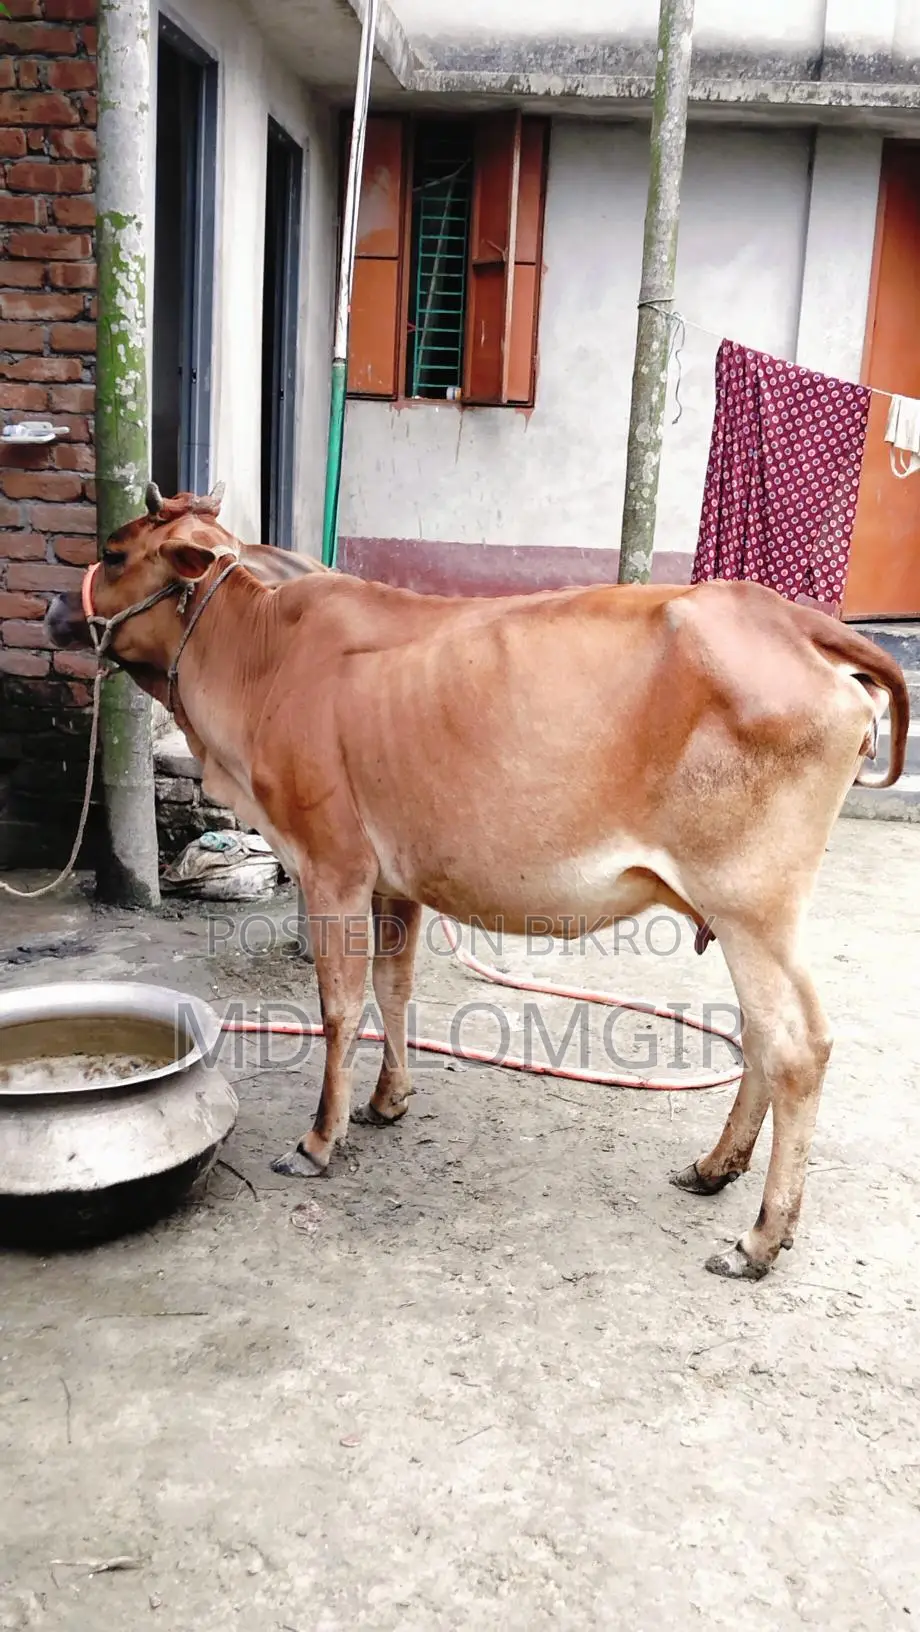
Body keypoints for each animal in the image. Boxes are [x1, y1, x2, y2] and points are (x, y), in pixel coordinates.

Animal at [47, 484, 908, 1281]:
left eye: (116, 554)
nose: (58, 606)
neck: (259, 654)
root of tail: (787, 618)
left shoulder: (332, 864)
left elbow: (339, 1004)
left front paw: (320, 1138)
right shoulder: (395, 878)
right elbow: (393, 986)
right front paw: (388, 1100)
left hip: (751, 903)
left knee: (796, 1046)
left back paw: (760, 1237)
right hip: (744, 916)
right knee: (762, 1037)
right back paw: (714, 1169)